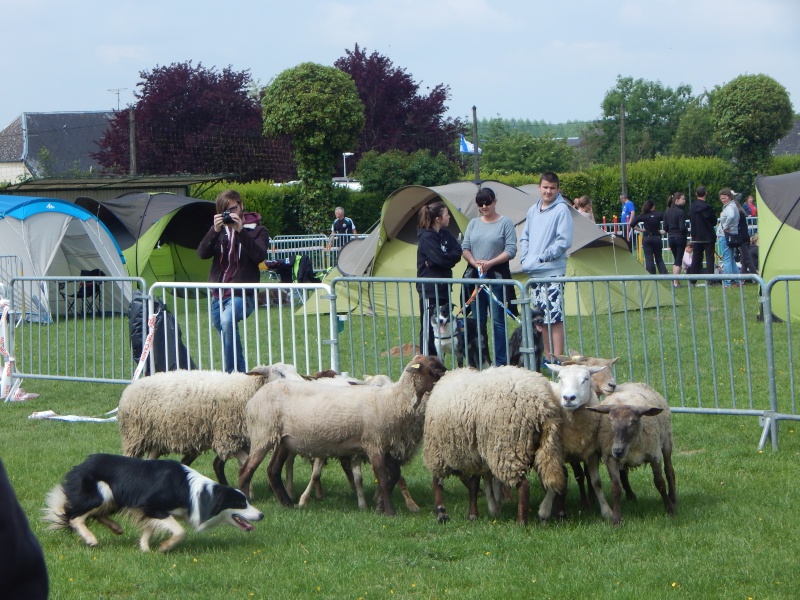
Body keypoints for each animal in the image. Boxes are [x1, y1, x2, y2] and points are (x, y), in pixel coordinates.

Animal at [44, 454, 262, 552]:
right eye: (241, 503)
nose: (262, 515)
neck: (196, 493)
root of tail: (78, 467)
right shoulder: (151, 506)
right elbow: (179, 531)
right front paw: (164, 548)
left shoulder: (148, 510)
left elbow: (148, 528)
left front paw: (145, 550)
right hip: (102, 492)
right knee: (74, 516)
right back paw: (91, 538)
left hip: (115, 497)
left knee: (95, 514)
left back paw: (116, 528)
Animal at [119, 364, 304, 486]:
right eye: (279, 372)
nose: (303, 382)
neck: (247, 389)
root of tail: (131, 387)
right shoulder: (227, 437)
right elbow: (244, 463)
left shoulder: (241, 439)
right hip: (134, 437)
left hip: (157, 438)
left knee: (150, 460)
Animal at [241, 356, 446, 516]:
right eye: (434, 369)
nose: (449, 382)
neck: (391, 400)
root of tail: (253, 399)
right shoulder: (374, 444)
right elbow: (383, 477)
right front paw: (389, 512)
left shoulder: (382, 445)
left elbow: (394, 474)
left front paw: (379, 506)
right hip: (262, 434)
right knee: (246, 471)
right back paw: (247, 503)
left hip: (283, 440)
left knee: (273, 470)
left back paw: (287, 504)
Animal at [422, 364, 564, 524]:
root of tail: (541, 404)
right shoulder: (475, 453)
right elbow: (474, 484)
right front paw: (474, 514)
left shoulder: (437, 449)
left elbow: (437, 481)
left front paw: (441, 511)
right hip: (548, 443)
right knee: (554, 478)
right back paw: (545, 513)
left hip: (507, 448)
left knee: (524, 485)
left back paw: (521, 522)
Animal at [588, 384, 676, 524]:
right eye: (610, 420)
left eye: (634, 421)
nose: (618, 450)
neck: (631, 445)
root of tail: (632, 383)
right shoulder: (610, 458)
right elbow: (616, 488)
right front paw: (616, 519)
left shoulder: (654, 455)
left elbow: (660, 483)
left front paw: (670, 509)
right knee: (624, 475)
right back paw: (630, 496)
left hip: (667, 439)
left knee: (669, 470)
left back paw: (673, 498)